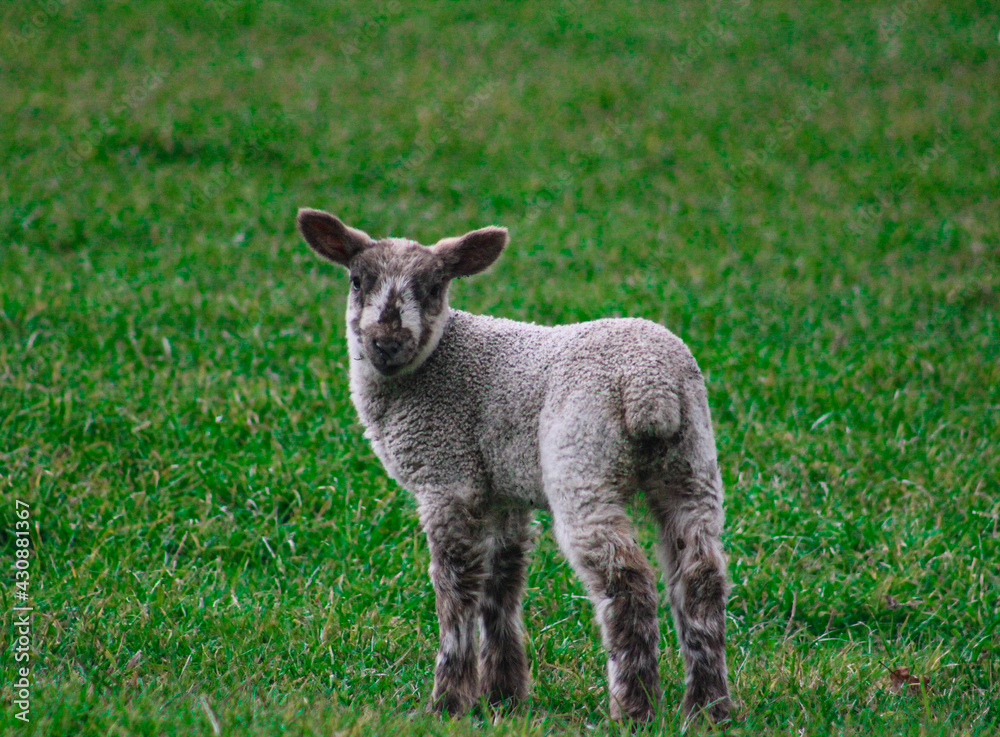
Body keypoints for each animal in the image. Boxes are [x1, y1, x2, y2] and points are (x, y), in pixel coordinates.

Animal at [296, 208, 733, 724]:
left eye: (434, 287)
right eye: (357, 280)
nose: (386, 343)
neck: (432, 367)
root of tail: (652, 385)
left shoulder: (448, 477)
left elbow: (456, 590)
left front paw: (449, 702)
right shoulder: (501, 490)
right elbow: (500, 585)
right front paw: (504, 696)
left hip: (582, 460)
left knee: (626, 582)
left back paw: (634, 707)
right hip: (692, 463)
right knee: (700, 576)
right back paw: (709, 708)